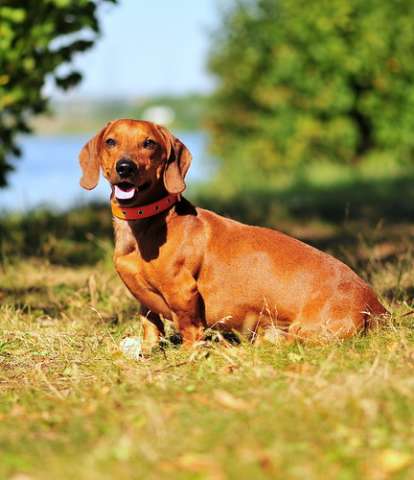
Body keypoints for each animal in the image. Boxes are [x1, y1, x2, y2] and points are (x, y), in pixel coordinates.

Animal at [79, 119, 386, 352]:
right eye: (111, 142)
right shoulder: (145, 303)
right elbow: (150, 325)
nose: (125, 167)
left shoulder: (184, 292)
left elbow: (190, 329)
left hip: (306, 331)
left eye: (149, 143)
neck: (149, 224)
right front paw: (148, 351)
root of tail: (376, 306)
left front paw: (188, 354)